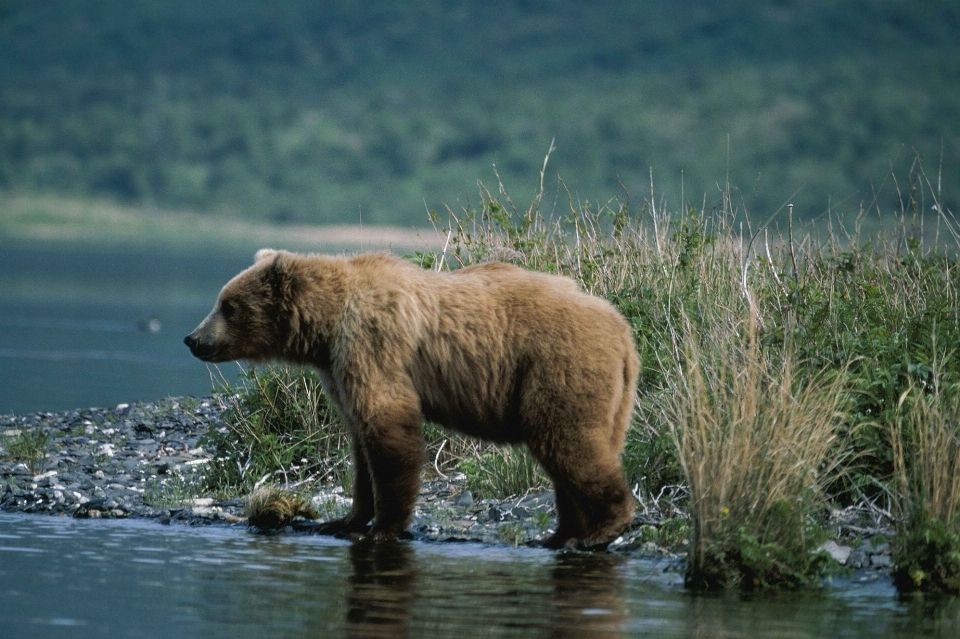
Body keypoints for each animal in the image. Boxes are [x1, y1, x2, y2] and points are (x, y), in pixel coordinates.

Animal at [186, 250, 636, 552]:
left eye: (229, 305)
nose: (193, 338)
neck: (326, 328)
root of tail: (623, 329)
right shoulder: (337, 368)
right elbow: (360, 445)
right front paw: (344, 519)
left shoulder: (372, 342)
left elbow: (387, 428)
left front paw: (382, 527)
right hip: (604, 394)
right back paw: (559, 535)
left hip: (557, 367)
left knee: (568, 443)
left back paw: (602, 529)